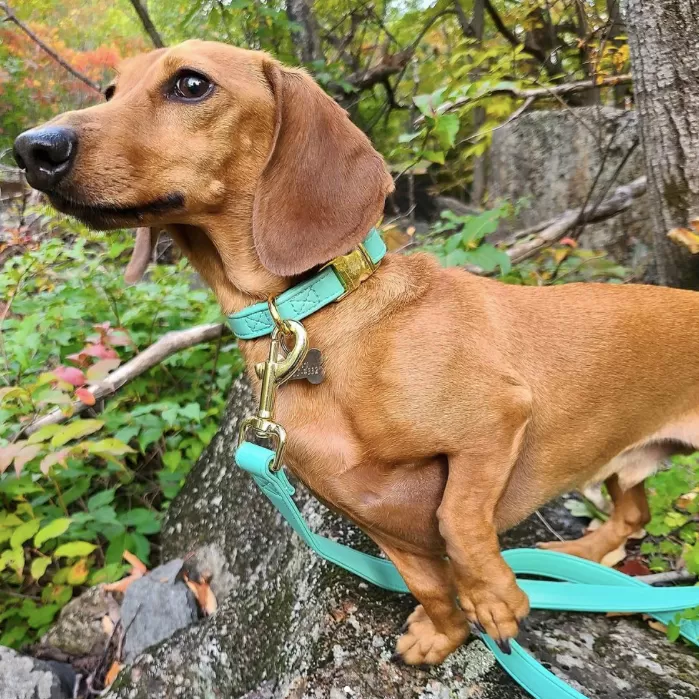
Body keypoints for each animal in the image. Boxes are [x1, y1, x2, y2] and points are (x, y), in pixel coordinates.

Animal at [13, 41, 699, 664]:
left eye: (191, 84)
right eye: (110, 90)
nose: (31, 150)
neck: (312, 322)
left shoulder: (496, 421)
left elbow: (458, 522)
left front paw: (494, 600)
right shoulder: (375, 521)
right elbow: (430, 584)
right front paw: (444, 633)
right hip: (621, 465)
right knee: (634, 516)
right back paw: (581, 560)